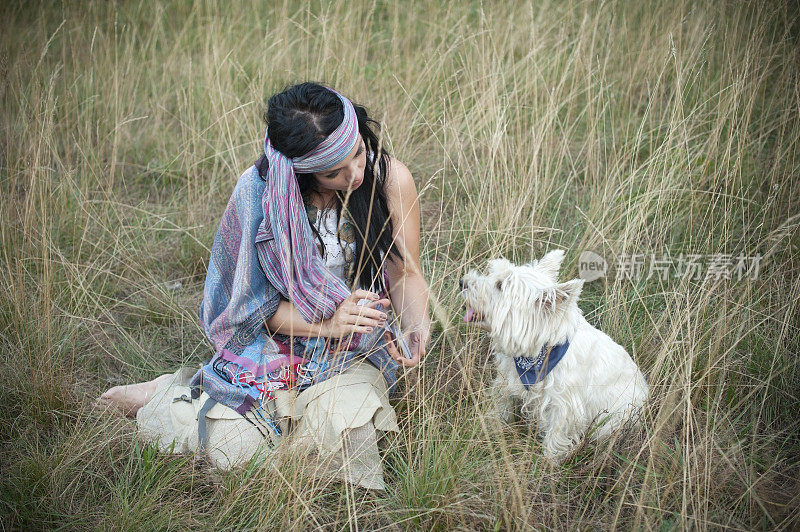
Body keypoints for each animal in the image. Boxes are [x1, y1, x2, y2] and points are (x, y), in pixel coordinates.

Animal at [460, 249, 648, 462]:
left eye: (500, 285)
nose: (462, 282)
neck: (540, 350)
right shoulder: (507, 381)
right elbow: (501, 405)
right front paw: (493, 425)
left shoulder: (564, 408)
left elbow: (555, 437)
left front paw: (548, 464)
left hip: (613, 420)